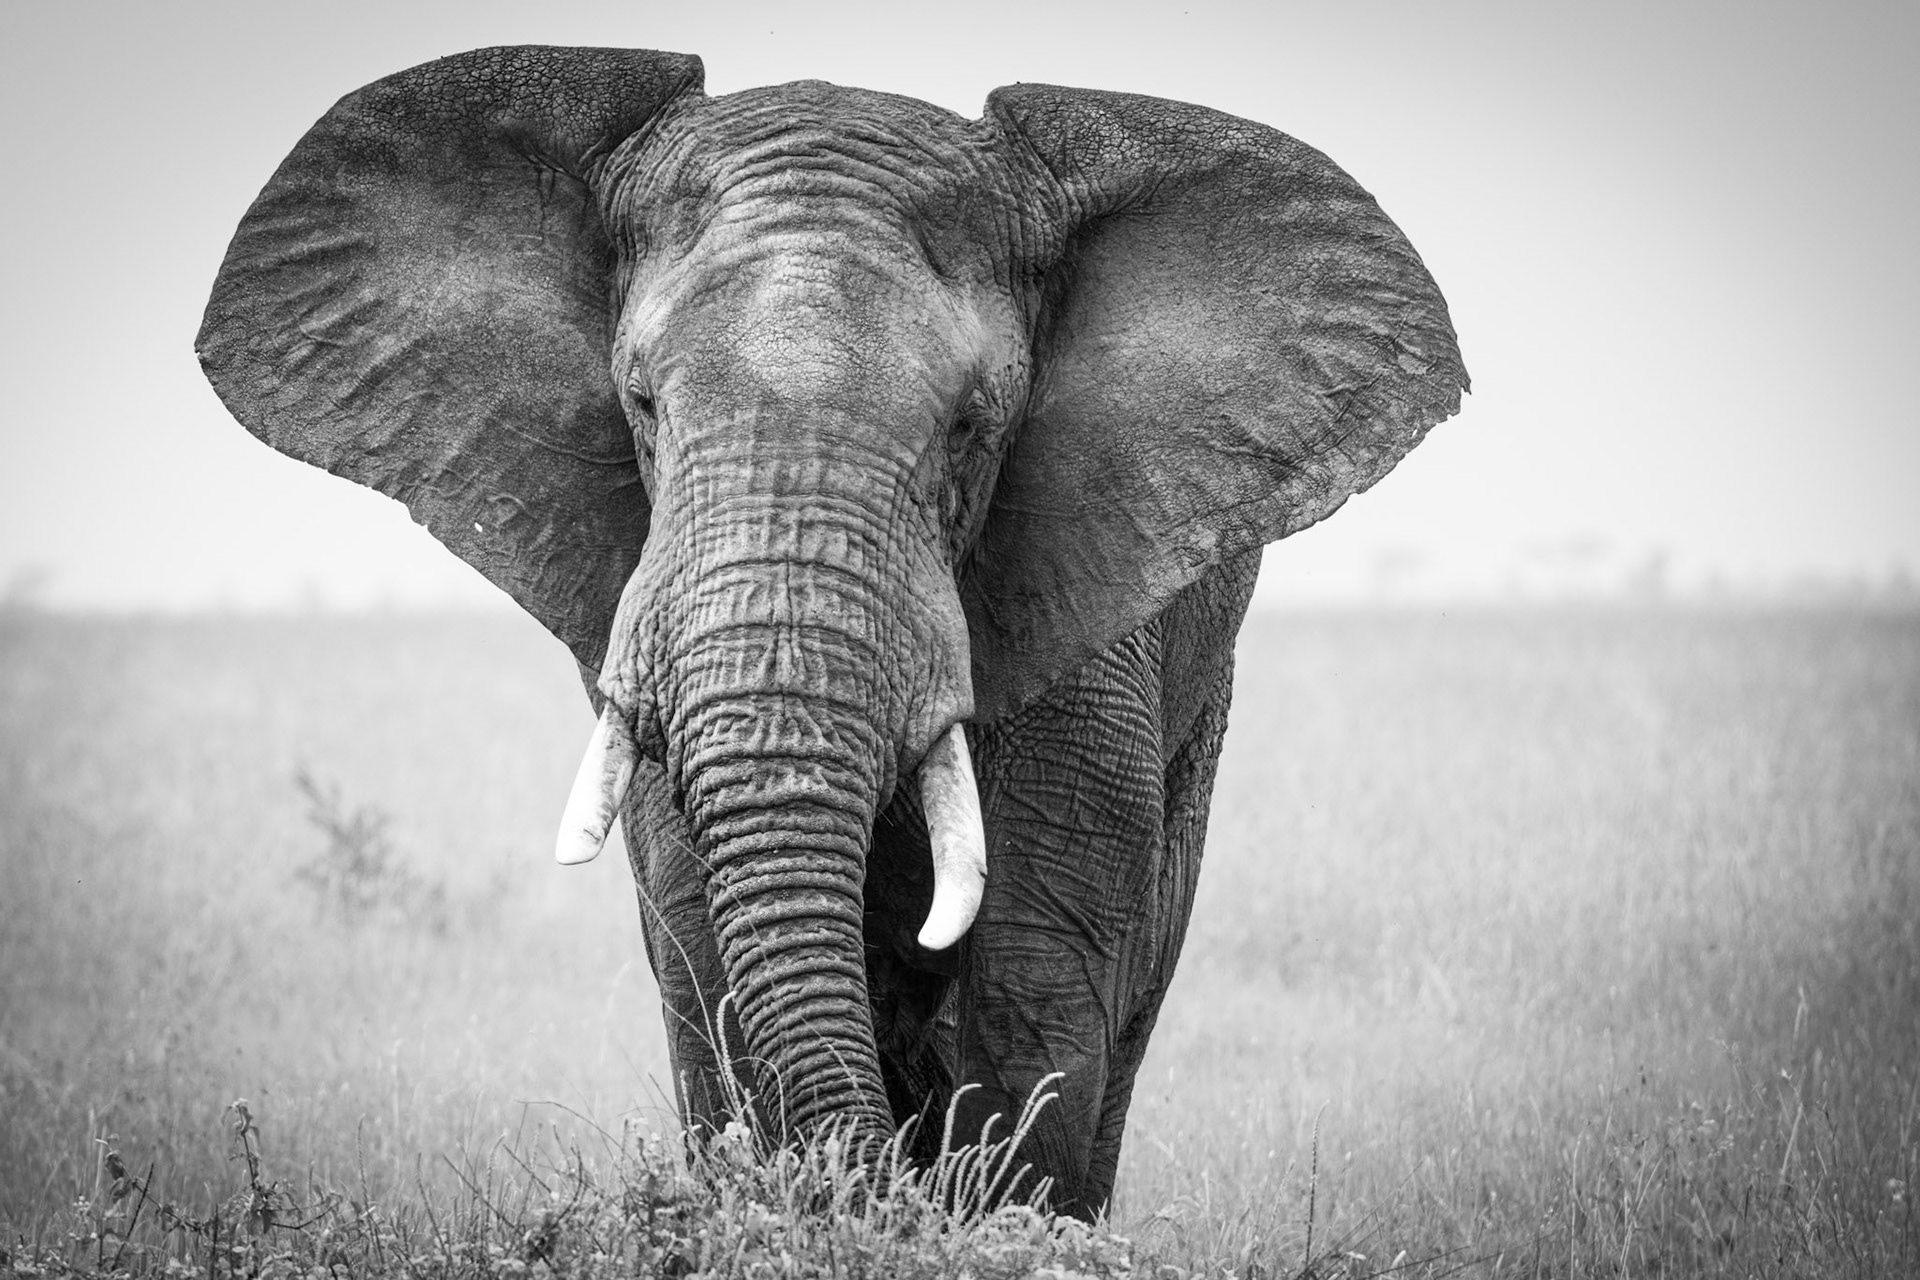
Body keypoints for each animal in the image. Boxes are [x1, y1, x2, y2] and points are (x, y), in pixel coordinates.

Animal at [197, 45, 1465, 1218]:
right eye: (642, 403)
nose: (866, 1182)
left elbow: (1041, 949)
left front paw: (987, 1222)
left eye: (971, 426)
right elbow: (699, 927)